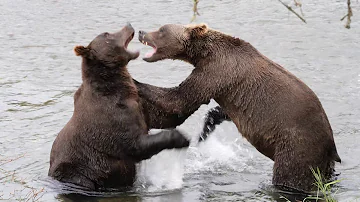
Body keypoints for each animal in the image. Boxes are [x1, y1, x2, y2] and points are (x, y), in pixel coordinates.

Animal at [49, 23, 193, 191]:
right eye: (106, 34)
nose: (128, 25)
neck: (115, 87)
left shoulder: (137, 104)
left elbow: (161, 117)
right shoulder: (112, 117)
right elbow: (135, 145)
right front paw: (182, 138)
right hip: (78, 171)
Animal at [136, 23, 342, 193]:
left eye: (161, 30)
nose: (141, 32)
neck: (204, 54)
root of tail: (331, 145)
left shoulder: (216, 72)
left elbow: (179, 100)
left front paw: (136, 82)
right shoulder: (222, 86)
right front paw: (205, 129)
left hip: (297, 144)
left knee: (290, 175)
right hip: (321, 159)